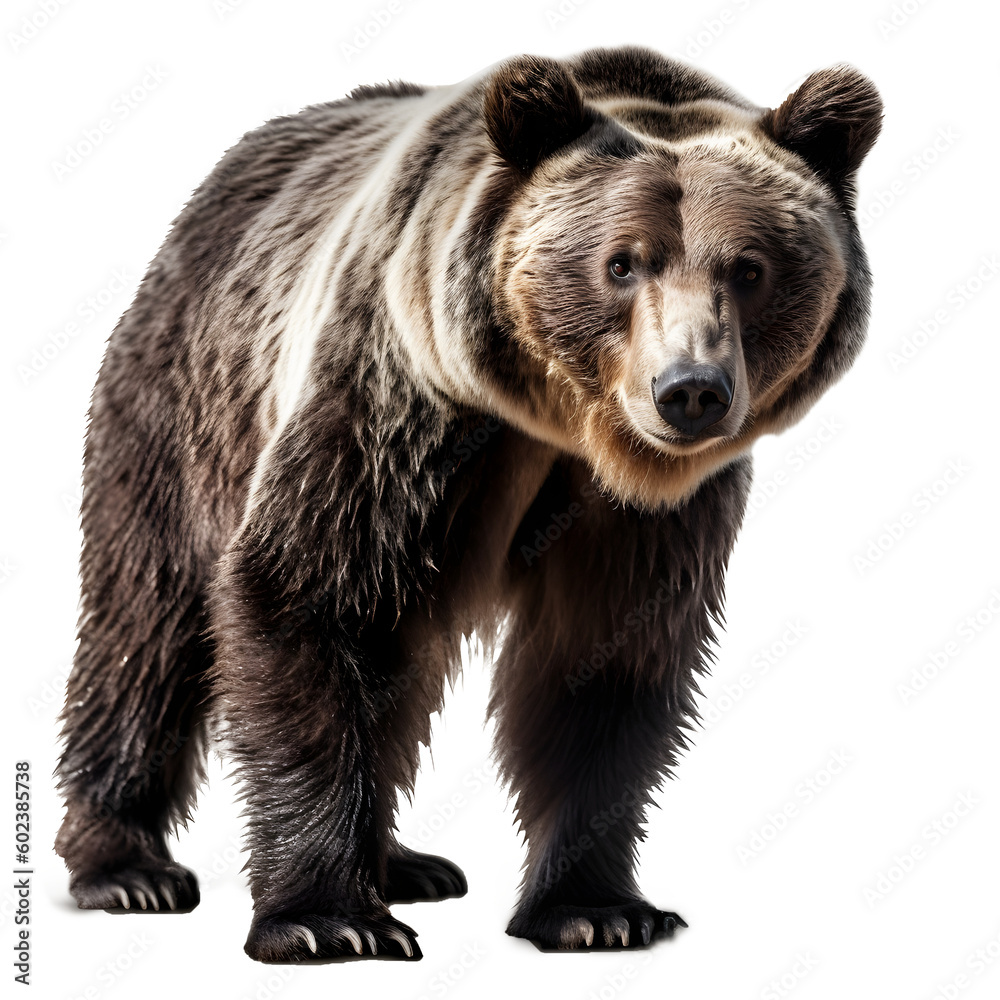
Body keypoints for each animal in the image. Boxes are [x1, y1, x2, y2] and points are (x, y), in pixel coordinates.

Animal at [54, 45, 881, 960]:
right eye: (622, 262)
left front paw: (598, 908)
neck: (561, 427)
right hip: (187, 401)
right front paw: (328, 921)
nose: (690, 390)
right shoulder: (398, 411)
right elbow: (306, 593)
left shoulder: (643, 513)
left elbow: (605, 660)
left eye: (749, 268)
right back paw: (128, 866)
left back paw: (405, 863)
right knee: (147, 624)